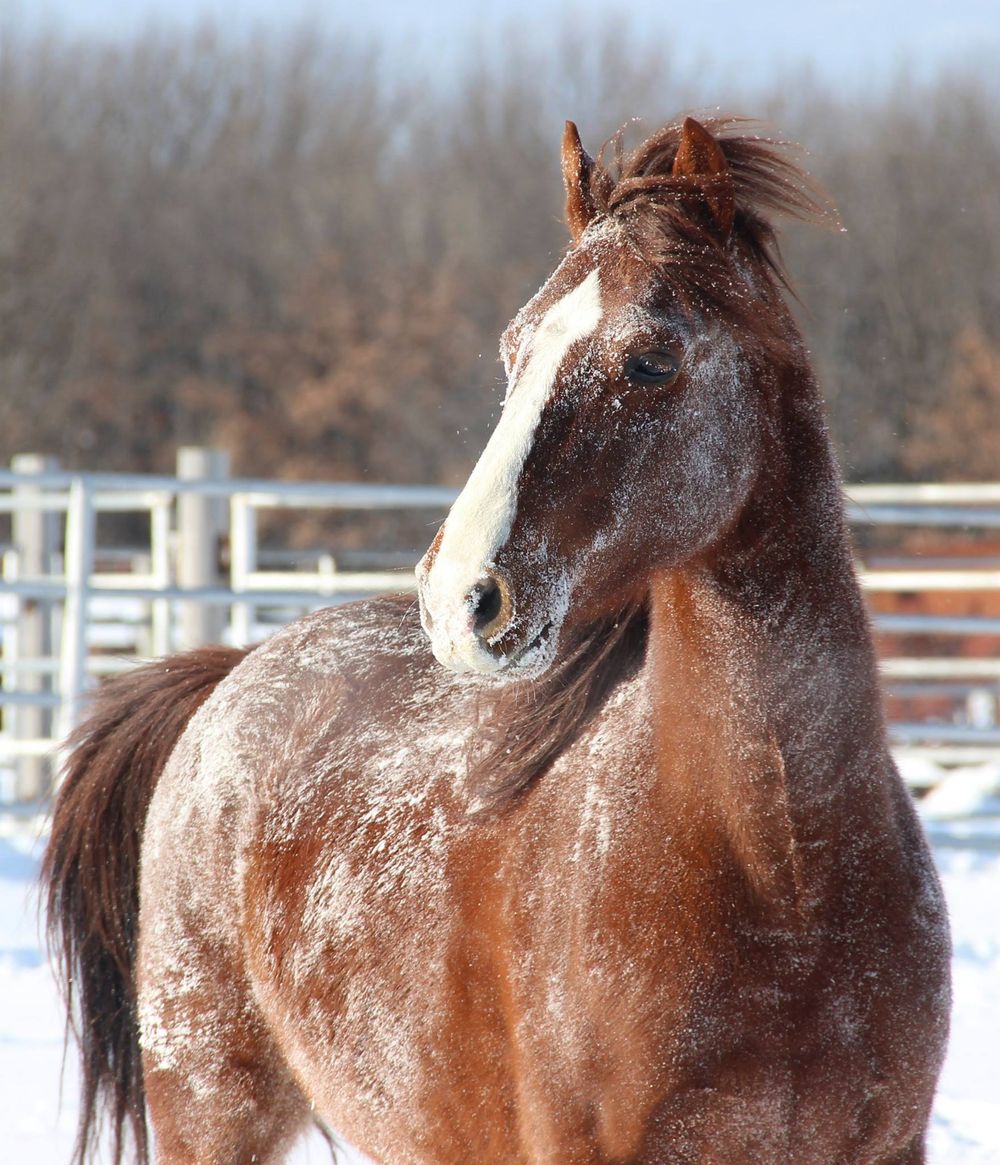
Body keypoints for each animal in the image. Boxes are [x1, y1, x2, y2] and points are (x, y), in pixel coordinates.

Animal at [44, 115, 951, 1165]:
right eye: (514, 349)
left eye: (652, 359)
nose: (459, 597)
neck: (784, 874)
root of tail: (235, 675)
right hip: (209, 1103)